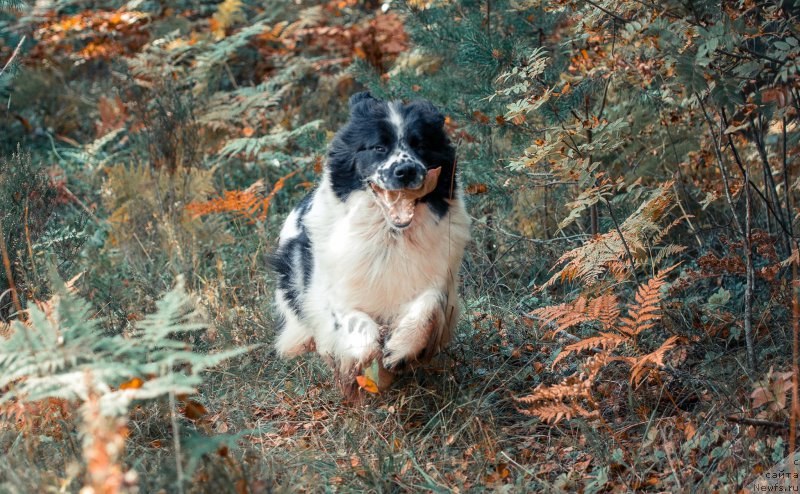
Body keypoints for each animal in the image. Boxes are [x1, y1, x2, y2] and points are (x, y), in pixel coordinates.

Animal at [272, 91, 472, 394]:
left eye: (421, 145)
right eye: (378, 147)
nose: (406, 171)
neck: (391, 237)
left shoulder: (440, 278)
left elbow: (429, 303)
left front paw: (399, 350)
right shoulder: (335, 290)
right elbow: (352, 318)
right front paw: (366, 355)